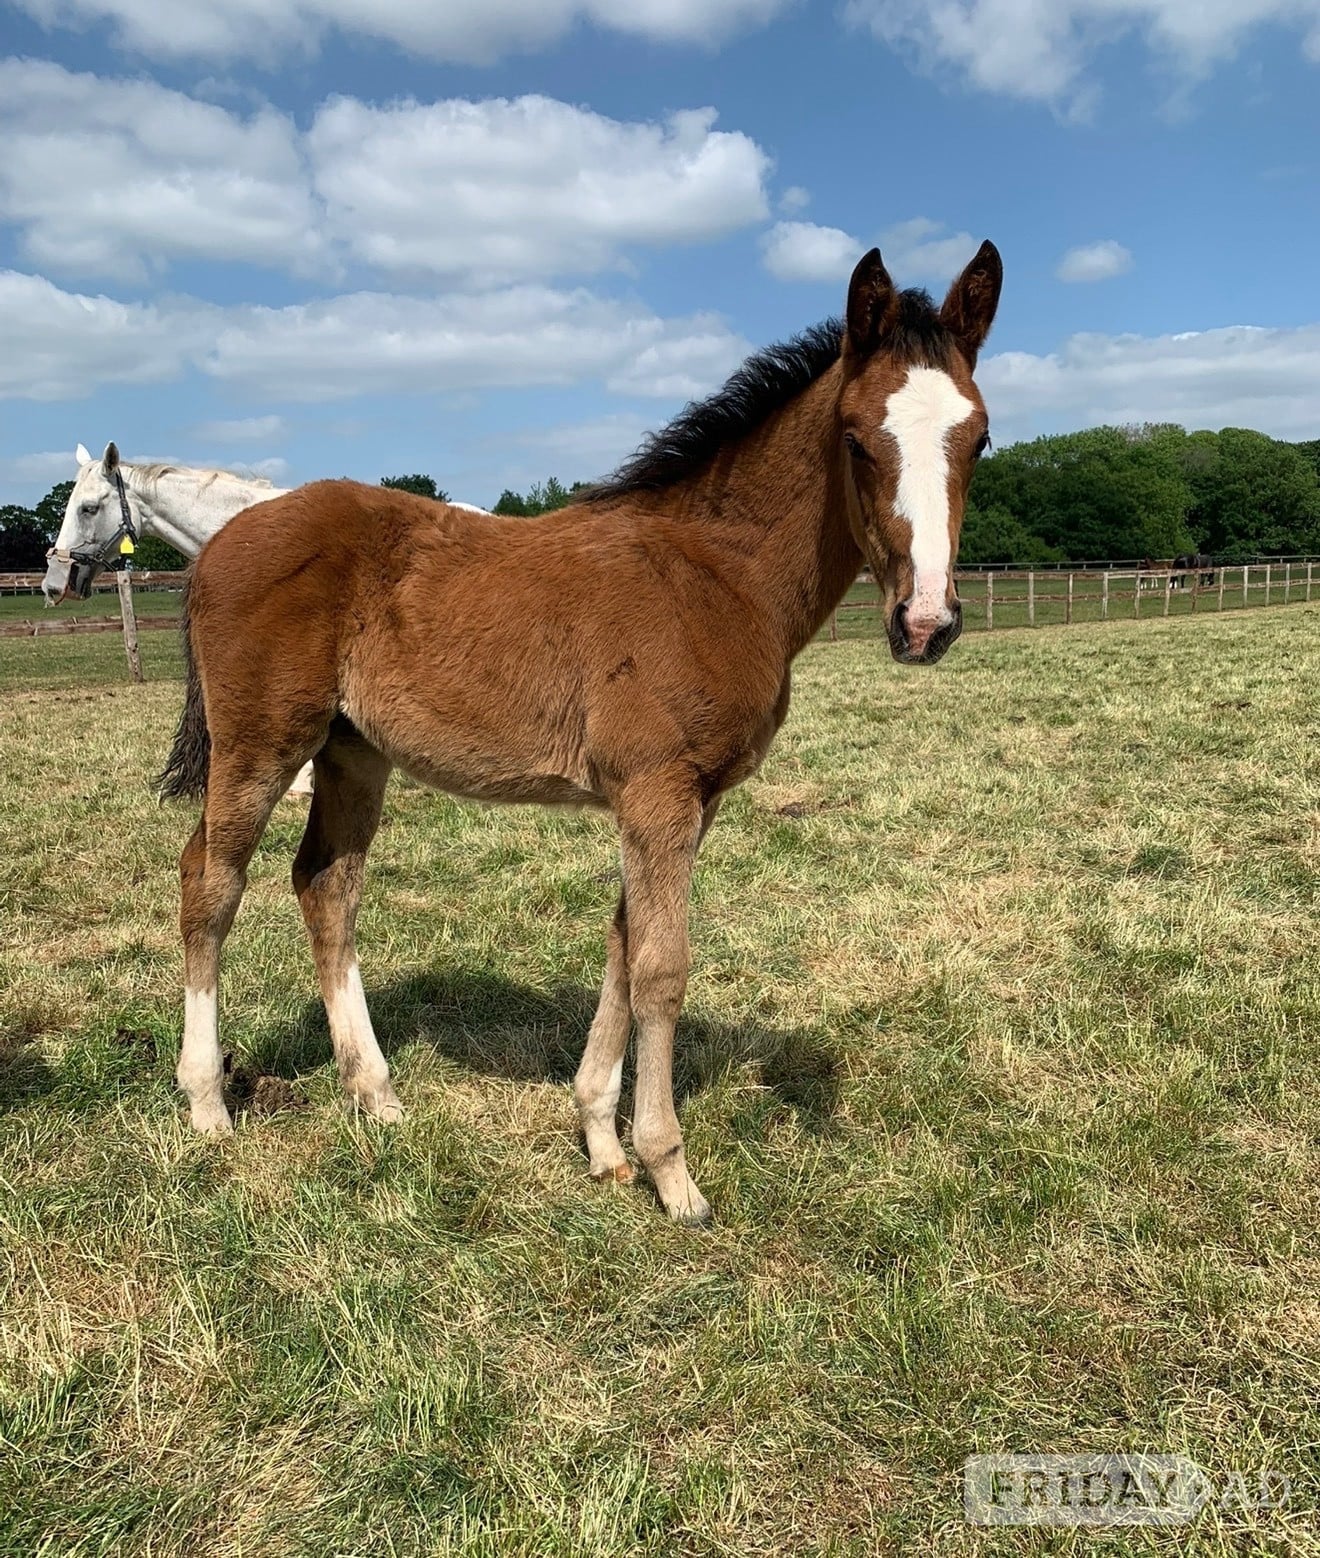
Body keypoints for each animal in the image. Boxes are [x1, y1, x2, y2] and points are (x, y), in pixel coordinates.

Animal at [160, 241, 1003, 1223]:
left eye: (979, 438)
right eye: (857, 436)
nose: (926, 621)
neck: (715, 575)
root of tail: (218, 545)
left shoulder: (685, 802)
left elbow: (622, 945)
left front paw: (602, 1141)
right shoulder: (658, 791)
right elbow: (661, 967)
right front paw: (671, 1172)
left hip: (352, 752)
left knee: (326, 884)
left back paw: (376, 1095)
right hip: (260, 744)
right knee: (210, 882)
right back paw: (207, 1104)